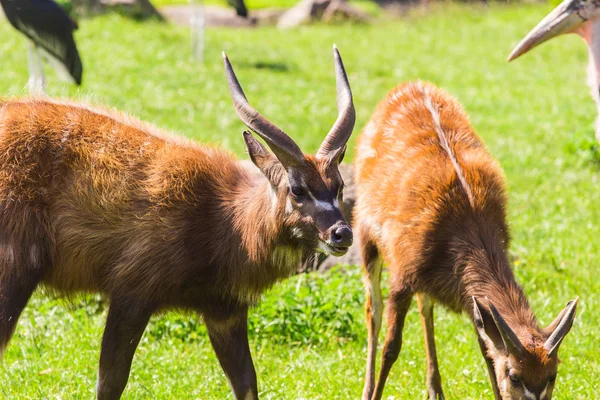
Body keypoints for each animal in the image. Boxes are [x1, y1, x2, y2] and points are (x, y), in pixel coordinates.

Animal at [0, 45, 356, 398]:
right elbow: (111, 381)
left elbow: (246, 381)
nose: (342, 234)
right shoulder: (131, 291)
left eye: (339, 185)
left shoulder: (225, 311)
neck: (222, 217)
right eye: (297, 188)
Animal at [354, 81, 580, 400]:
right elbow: (391, 347)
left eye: (552, 375)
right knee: (372, 310)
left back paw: (435, 389)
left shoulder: (468, 295)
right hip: (364, 233)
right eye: (514, 375)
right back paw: (367, 388)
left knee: (425, 308)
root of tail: (409, 84)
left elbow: (486, 351)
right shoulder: (402, 274)